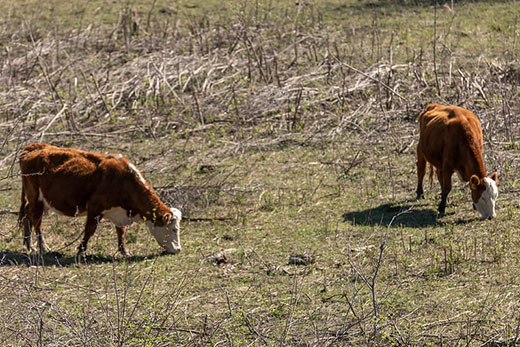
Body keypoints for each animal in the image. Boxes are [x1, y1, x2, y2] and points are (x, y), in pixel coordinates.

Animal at [18, 143, 182, 256]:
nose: (178, 249)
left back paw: (28, 244)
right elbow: (89, 230)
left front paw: (124, 250)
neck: (124, 181)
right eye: (174, 229)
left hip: (40, 201)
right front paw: (81, 250)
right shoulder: (95, 208)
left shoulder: (118, 212)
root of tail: (33, 148)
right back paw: (42, 246)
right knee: (37, 222)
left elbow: (121, 231)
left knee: (27, 215)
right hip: (36, 198)